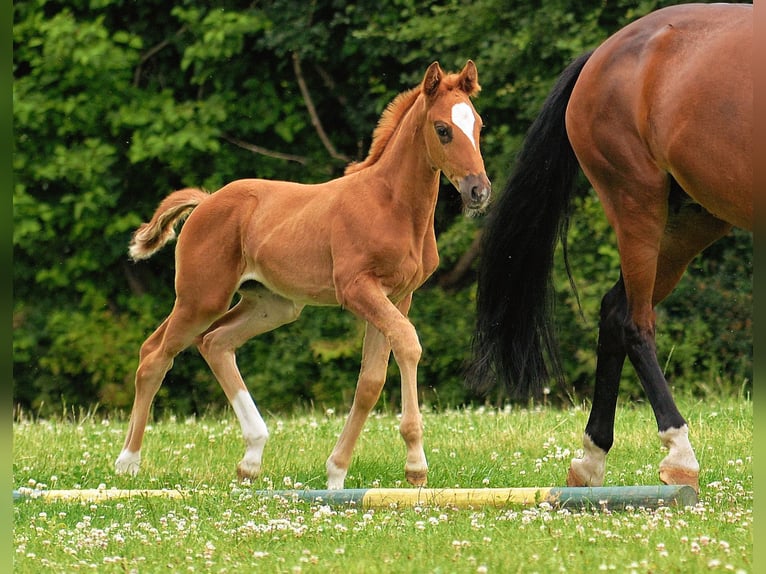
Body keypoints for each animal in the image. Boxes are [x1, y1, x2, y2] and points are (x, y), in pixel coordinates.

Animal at [118, 59, 496, 490]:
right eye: (442, 129)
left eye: (478, 125)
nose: (479, 191)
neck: (391, 204)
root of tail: (206, 201)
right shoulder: (357, 289)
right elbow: (408, 343)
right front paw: (415, 465)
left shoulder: (399, 295)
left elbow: (370, 382)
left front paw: (337, 473)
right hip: (201, 298)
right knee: (155, 356)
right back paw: (128, 462)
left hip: (272, 305)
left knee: (213, 343)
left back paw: (251, 457)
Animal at [472, 2, 752, 496]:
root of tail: (600, 55)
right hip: (636, 204)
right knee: (634, 322)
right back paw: (678, 454)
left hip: (689, 221)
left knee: (614, 309)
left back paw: (590, 460)